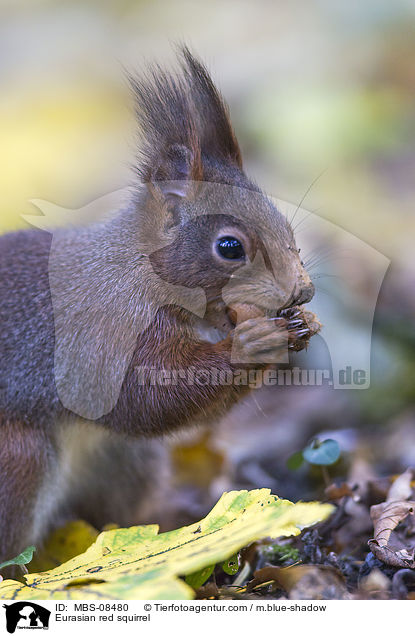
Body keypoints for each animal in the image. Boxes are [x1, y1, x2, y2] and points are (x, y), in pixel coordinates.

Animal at [0, 47, 322, 560]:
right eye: (229, 247)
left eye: (289, 230)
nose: (302, 292)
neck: (141, 274)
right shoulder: (102, 331)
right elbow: (143, 397)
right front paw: (248, 345)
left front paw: (301, 323)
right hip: (17, 458)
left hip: (125, 463)